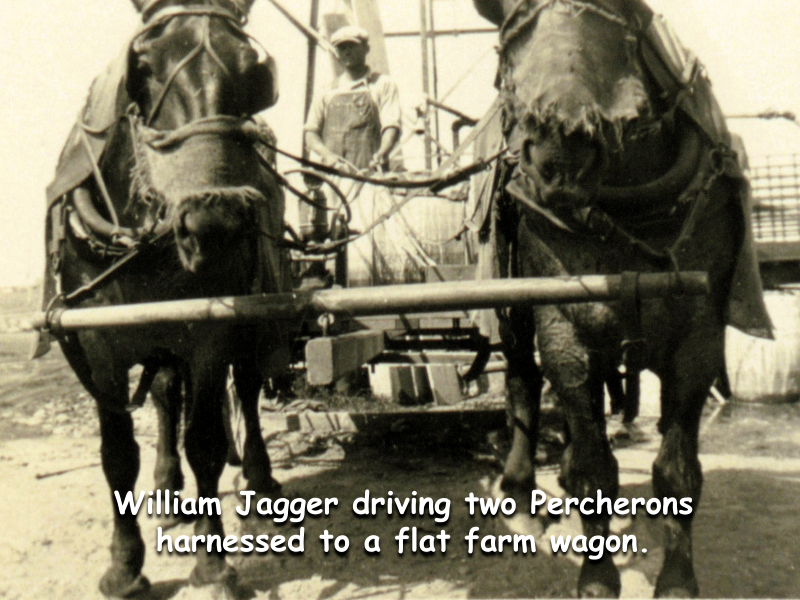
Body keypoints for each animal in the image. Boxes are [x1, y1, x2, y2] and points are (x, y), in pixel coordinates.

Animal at [43, 0, 288, 595]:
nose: (213, 225)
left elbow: (205, 438)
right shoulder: (99, 344)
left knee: (246, 390)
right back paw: (168, 489)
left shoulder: (209, 331)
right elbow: (116, 453)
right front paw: (125, 565)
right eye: (146, 66)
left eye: (252, 71)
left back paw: (259, 480)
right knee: (164, 396)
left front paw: (213, 563)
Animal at [472, 0, 771, 596]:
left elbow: (677, 470)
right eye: (509, 36)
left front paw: (677, 577)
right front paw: (596, 574)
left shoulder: (697, 339)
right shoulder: (564, 330)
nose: (560, 147)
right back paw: (520, 492)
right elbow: (593, 467)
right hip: (510, 304)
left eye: (624, 18)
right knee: (521, 379)